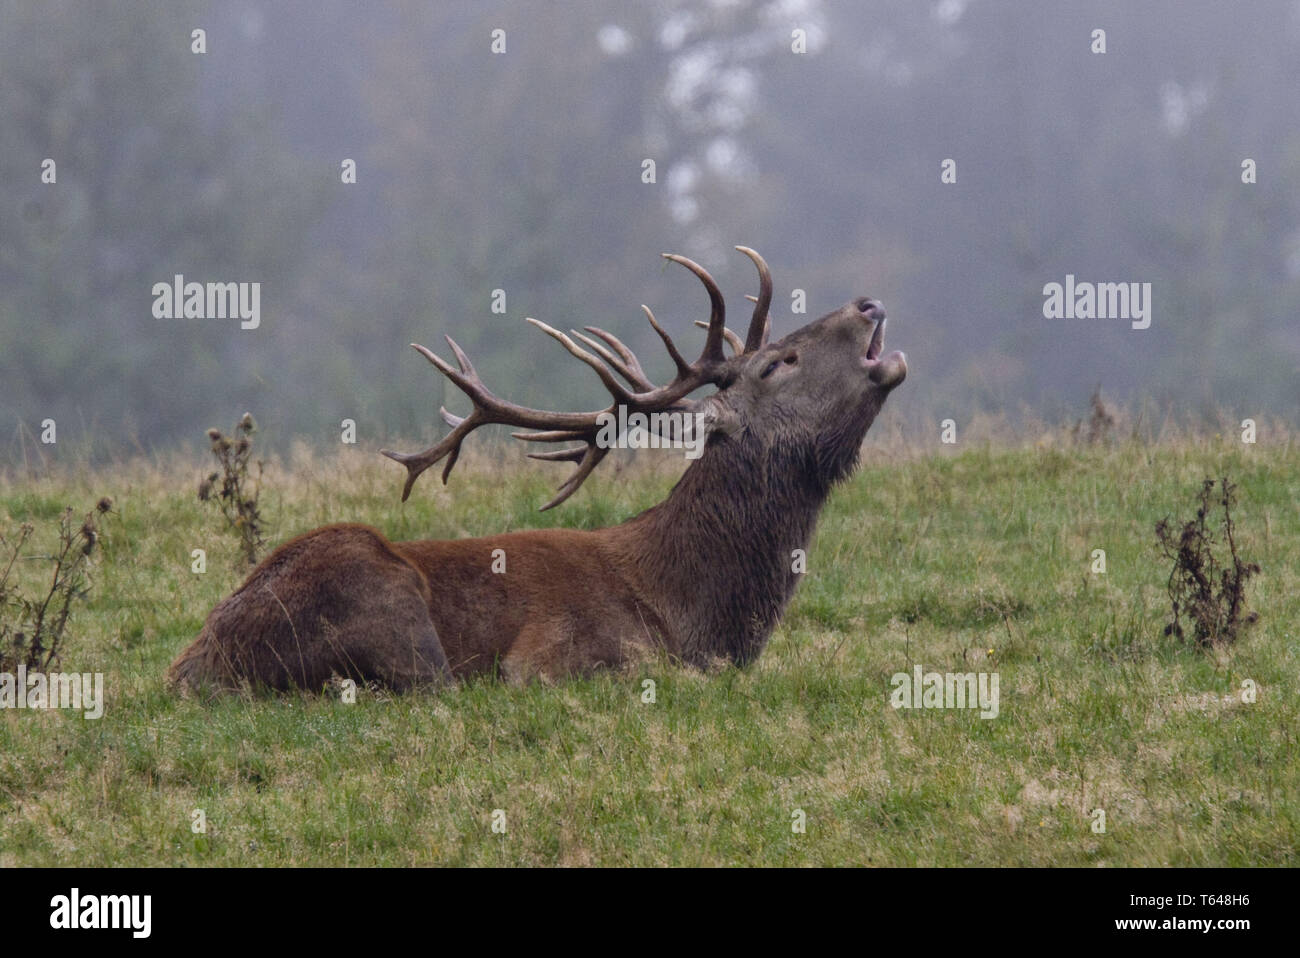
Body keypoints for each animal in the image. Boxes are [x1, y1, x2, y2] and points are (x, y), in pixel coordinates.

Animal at [167, 248, 907, 693]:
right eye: (777, 363)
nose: (869, 303)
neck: (693, 615)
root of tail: (194, 668)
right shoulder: (554, 658)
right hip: (379, 592)